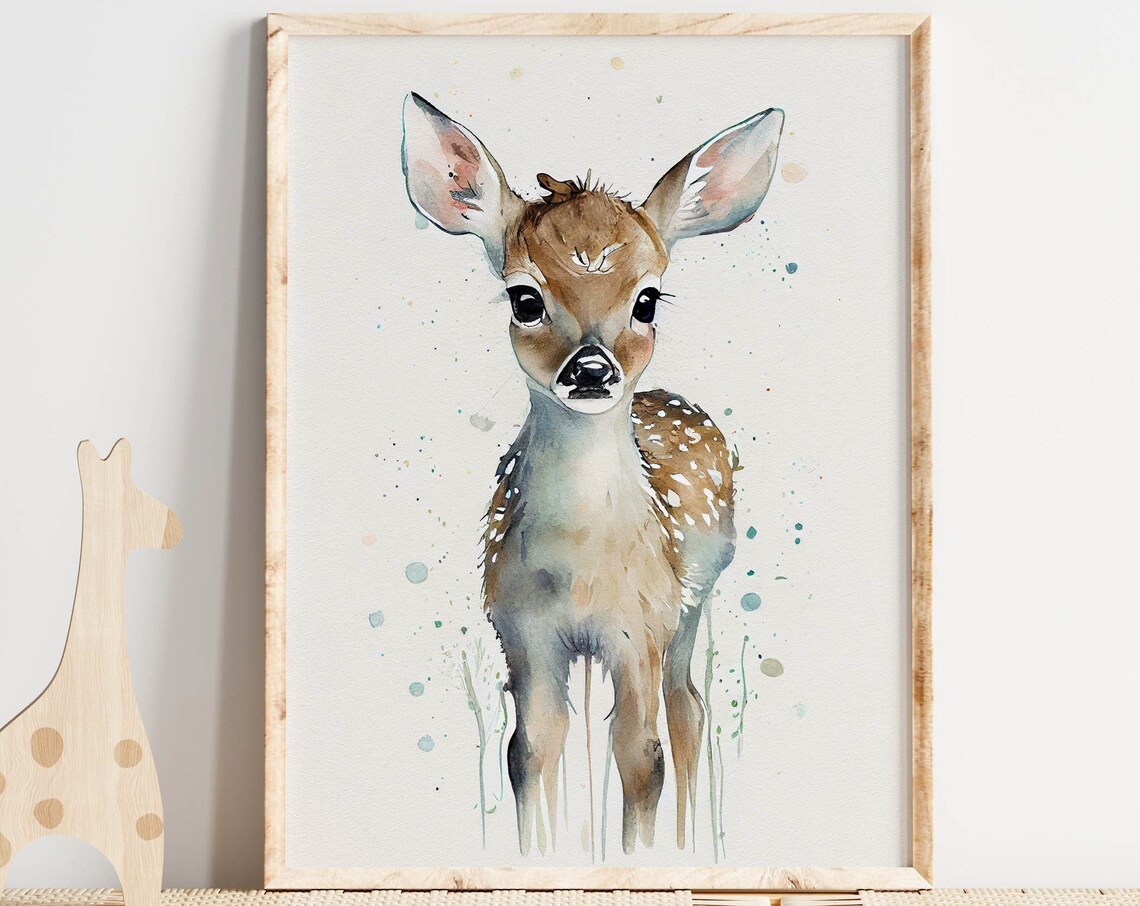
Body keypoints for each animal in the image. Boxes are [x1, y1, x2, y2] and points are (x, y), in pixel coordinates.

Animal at [402, 92, 783, 857]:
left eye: (647, 299)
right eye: (524, 298)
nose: (590, 369)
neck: (579, 572)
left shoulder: (639, 626)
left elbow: (640, 758)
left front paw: (639, 854)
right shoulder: (521, 630)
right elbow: (528, 751)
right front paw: (539, 854)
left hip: (691, 603)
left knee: (687, 709)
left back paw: (690, 842)